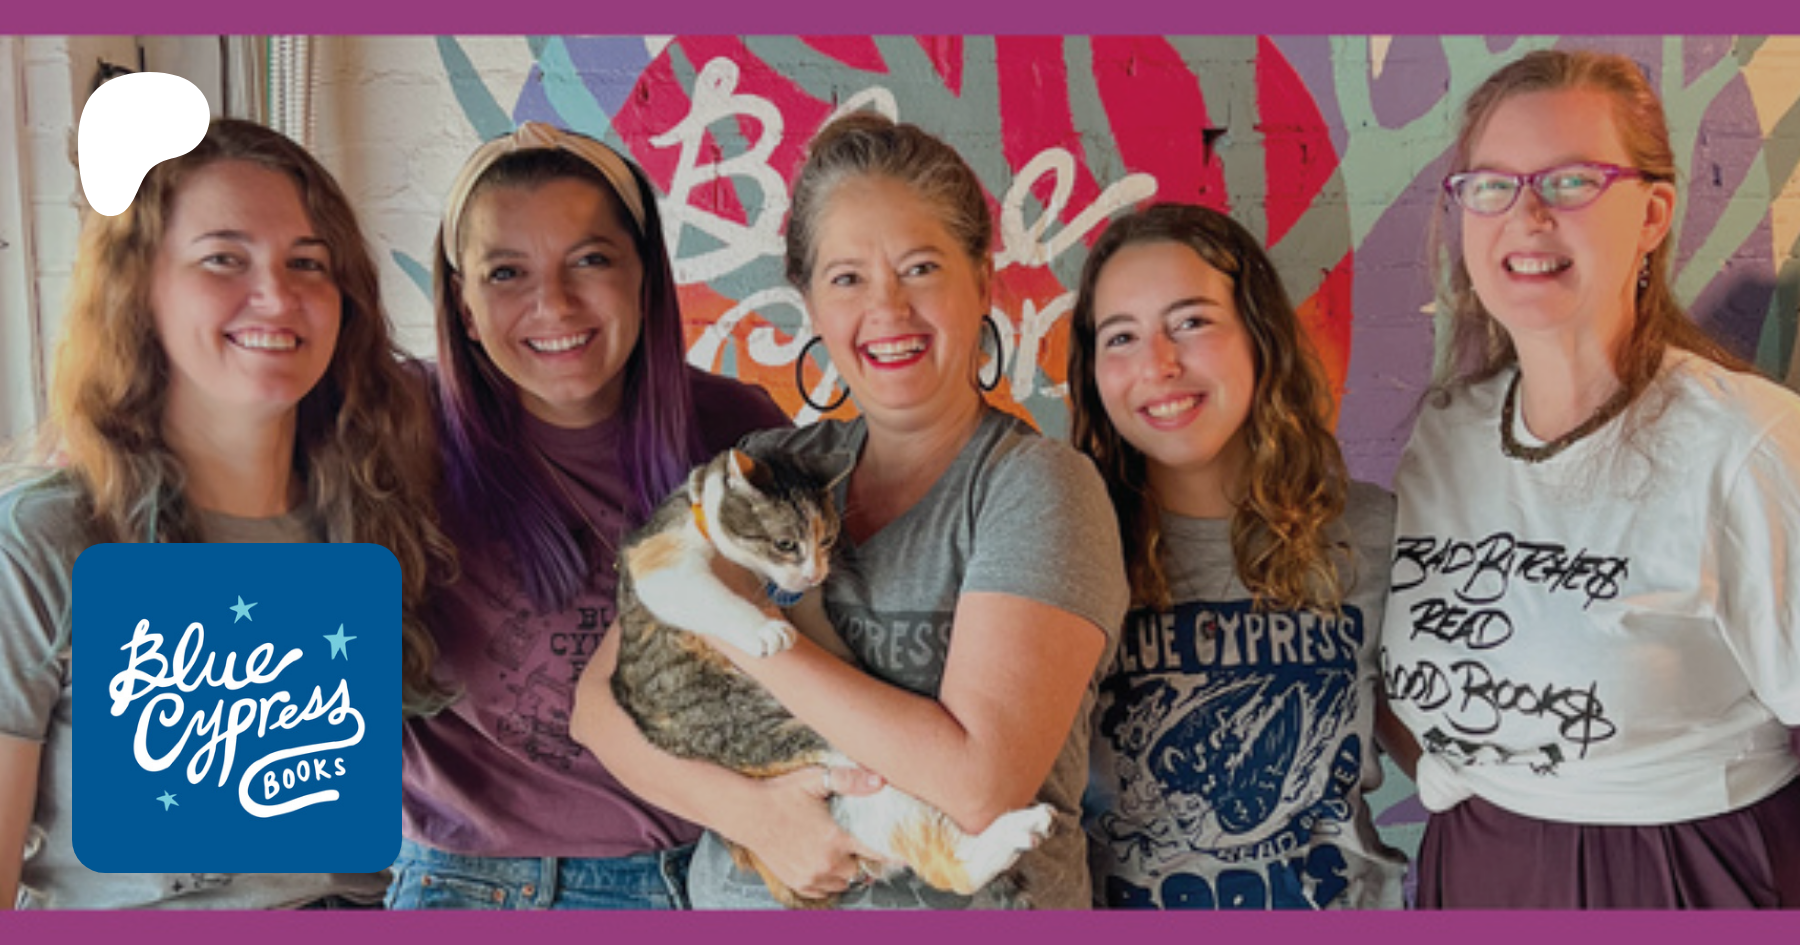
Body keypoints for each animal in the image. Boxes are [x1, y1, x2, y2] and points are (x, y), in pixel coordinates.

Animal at [610, 447, 1054, 908]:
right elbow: (708, 596)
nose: (814, 574)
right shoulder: (659, 558)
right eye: (785, 544)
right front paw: (765, 631)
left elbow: (817, 626)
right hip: (822, 750)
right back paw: (1019, 830)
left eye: (825, 542)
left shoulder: (806, 605)